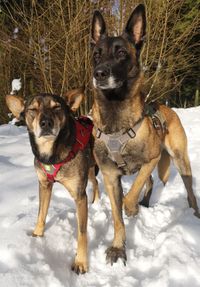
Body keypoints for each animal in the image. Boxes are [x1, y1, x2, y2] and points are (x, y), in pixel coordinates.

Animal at [5, 90, 99, 274]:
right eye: (33, 109)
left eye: (57, 107)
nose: (46, 123)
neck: (52, 154)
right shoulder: (44, 185)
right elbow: (41, 214)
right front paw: (37, 236)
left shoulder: (79, 195)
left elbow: (82, 233)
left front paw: (81, 262)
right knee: (96, 182)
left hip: (93, 166)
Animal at [91, 3, 200, 266]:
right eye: (97, 54)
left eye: (121, 53)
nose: (99, 73)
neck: (115, 115)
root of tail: (167, 108)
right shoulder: (110, 176)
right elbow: (117, 217)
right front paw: (118, 247)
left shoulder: (151, 159)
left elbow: (130, 195)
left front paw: (131, 208)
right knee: (149, 182)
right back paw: (147, 202)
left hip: (180, 161)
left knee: (189, 191)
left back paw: (193, 213)